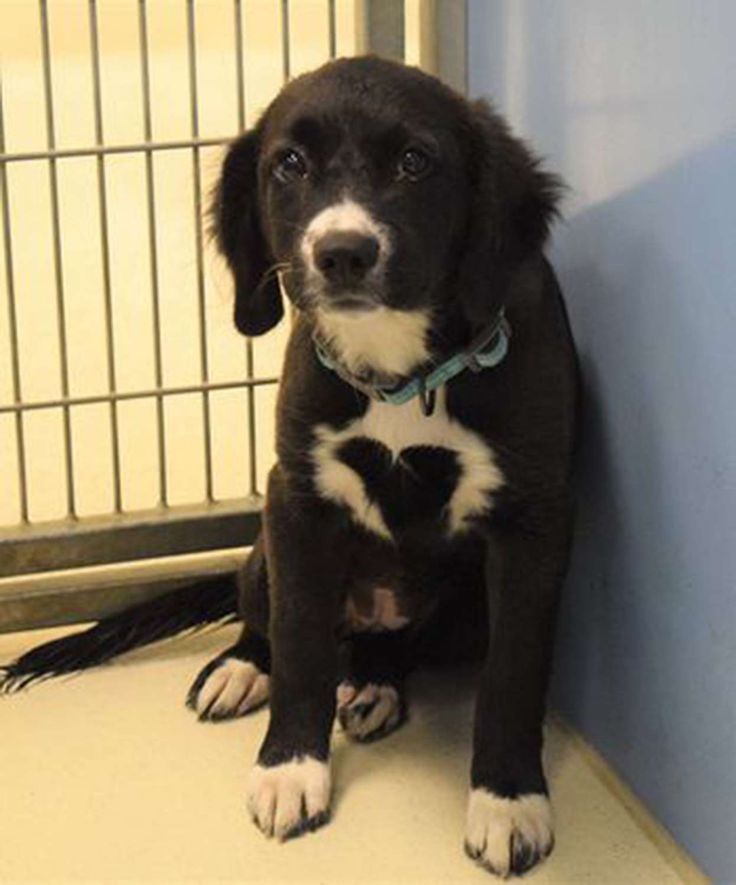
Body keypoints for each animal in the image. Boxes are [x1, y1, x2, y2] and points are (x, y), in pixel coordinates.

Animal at [2, 57, 584, 876]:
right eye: (290, 165)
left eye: (416, 161)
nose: (341, 253)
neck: (402, 369)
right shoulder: (298, 502)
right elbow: (302, 640)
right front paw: (289, 771)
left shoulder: (534, 525)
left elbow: (513, 673)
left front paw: (508, 802)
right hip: (261, 550)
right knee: (267, 622)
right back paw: (242, 669)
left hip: (464, 611)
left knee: (391, 648)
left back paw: (373, 686)